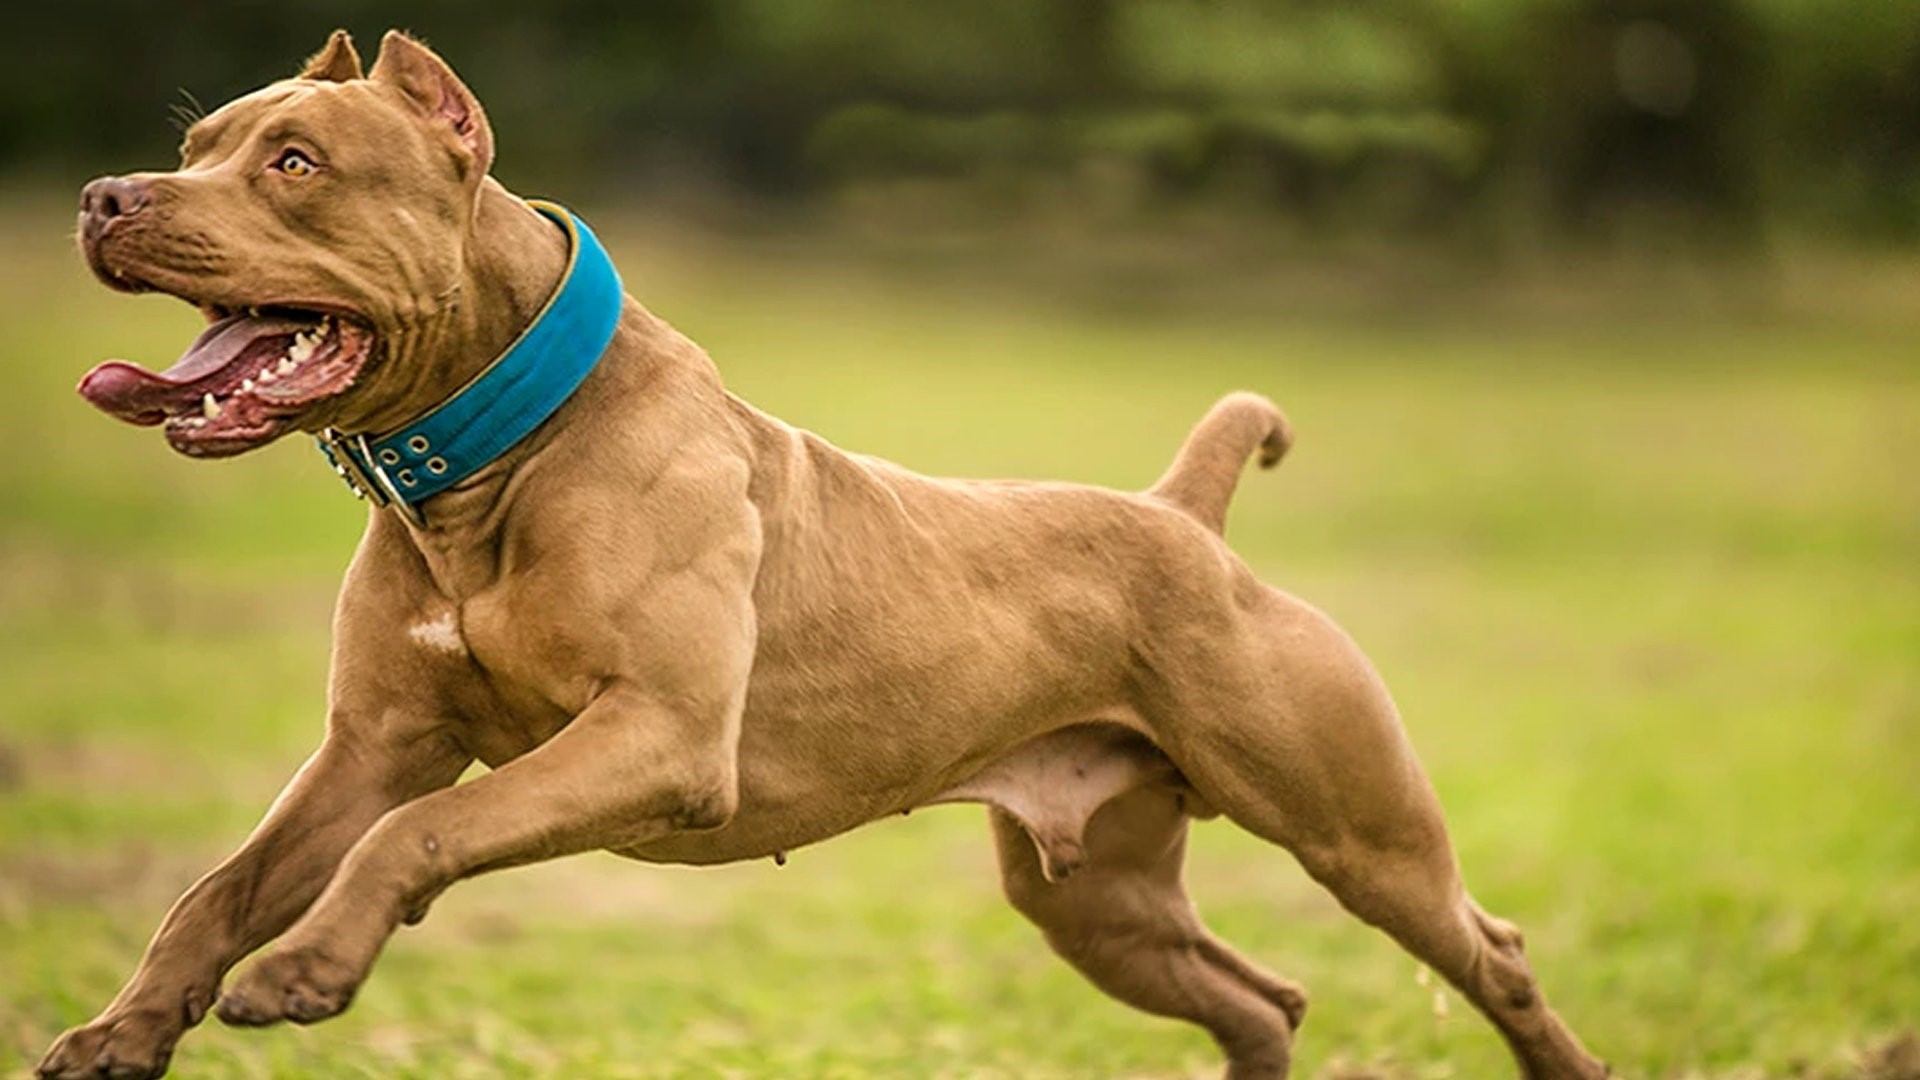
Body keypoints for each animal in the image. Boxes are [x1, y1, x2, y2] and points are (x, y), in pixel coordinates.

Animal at [41, 29, 1605, 1076]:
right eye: (196, 146)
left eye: (295, 163)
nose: (106, 194)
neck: (491, 458)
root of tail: (1183, 516)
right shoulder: (371, 745)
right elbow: (217, 888)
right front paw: (123, 1029)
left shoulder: (656, 739)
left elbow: (413, 837)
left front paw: (308, 966)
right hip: (1094, 901)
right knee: (1258, 1000)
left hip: (1358, 836)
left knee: (1495, 956)